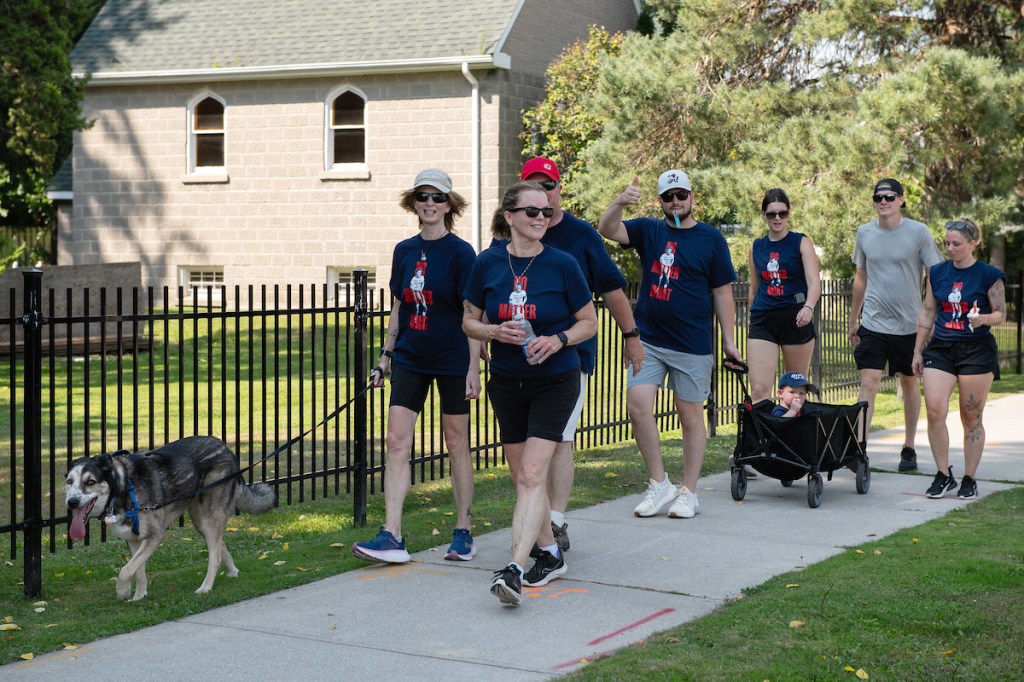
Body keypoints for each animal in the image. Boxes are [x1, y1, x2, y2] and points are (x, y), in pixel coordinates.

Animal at [65, 436, 276, 600]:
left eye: (90, 482)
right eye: (69, 481)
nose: (72, 502)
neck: (121, 488)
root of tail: (226, 449)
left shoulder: (155, 535)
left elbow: (125, 570)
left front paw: (123, 592)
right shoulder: (133, 539)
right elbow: (137, 570)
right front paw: (139, 596)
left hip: (209, 517)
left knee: (214, 556)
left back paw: (206, 587)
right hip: (200, 520)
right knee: (219, 545)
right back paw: (232, 571)